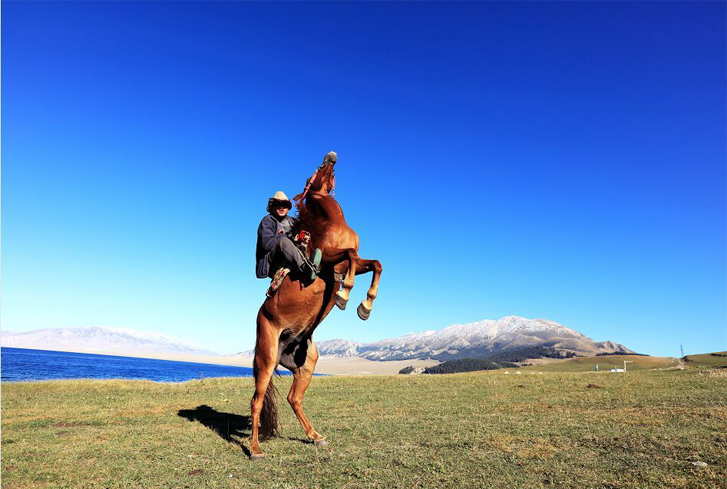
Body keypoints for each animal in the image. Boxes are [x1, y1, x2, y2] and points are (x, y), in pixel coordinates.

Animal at [250, 151, 384, 460]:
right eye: (316, 168)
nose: (331, 156)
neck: (326, 223)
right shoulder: (330, 261)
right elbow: (350, 255)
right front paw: (345, 296)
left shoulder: (351, 263)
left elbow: (376, 264)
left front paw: (365, 306)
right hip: (266, 360)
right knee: (257, 401)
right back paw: (254, 449)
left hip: (306, 362)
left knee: (293, 398)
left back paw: (316, 436)